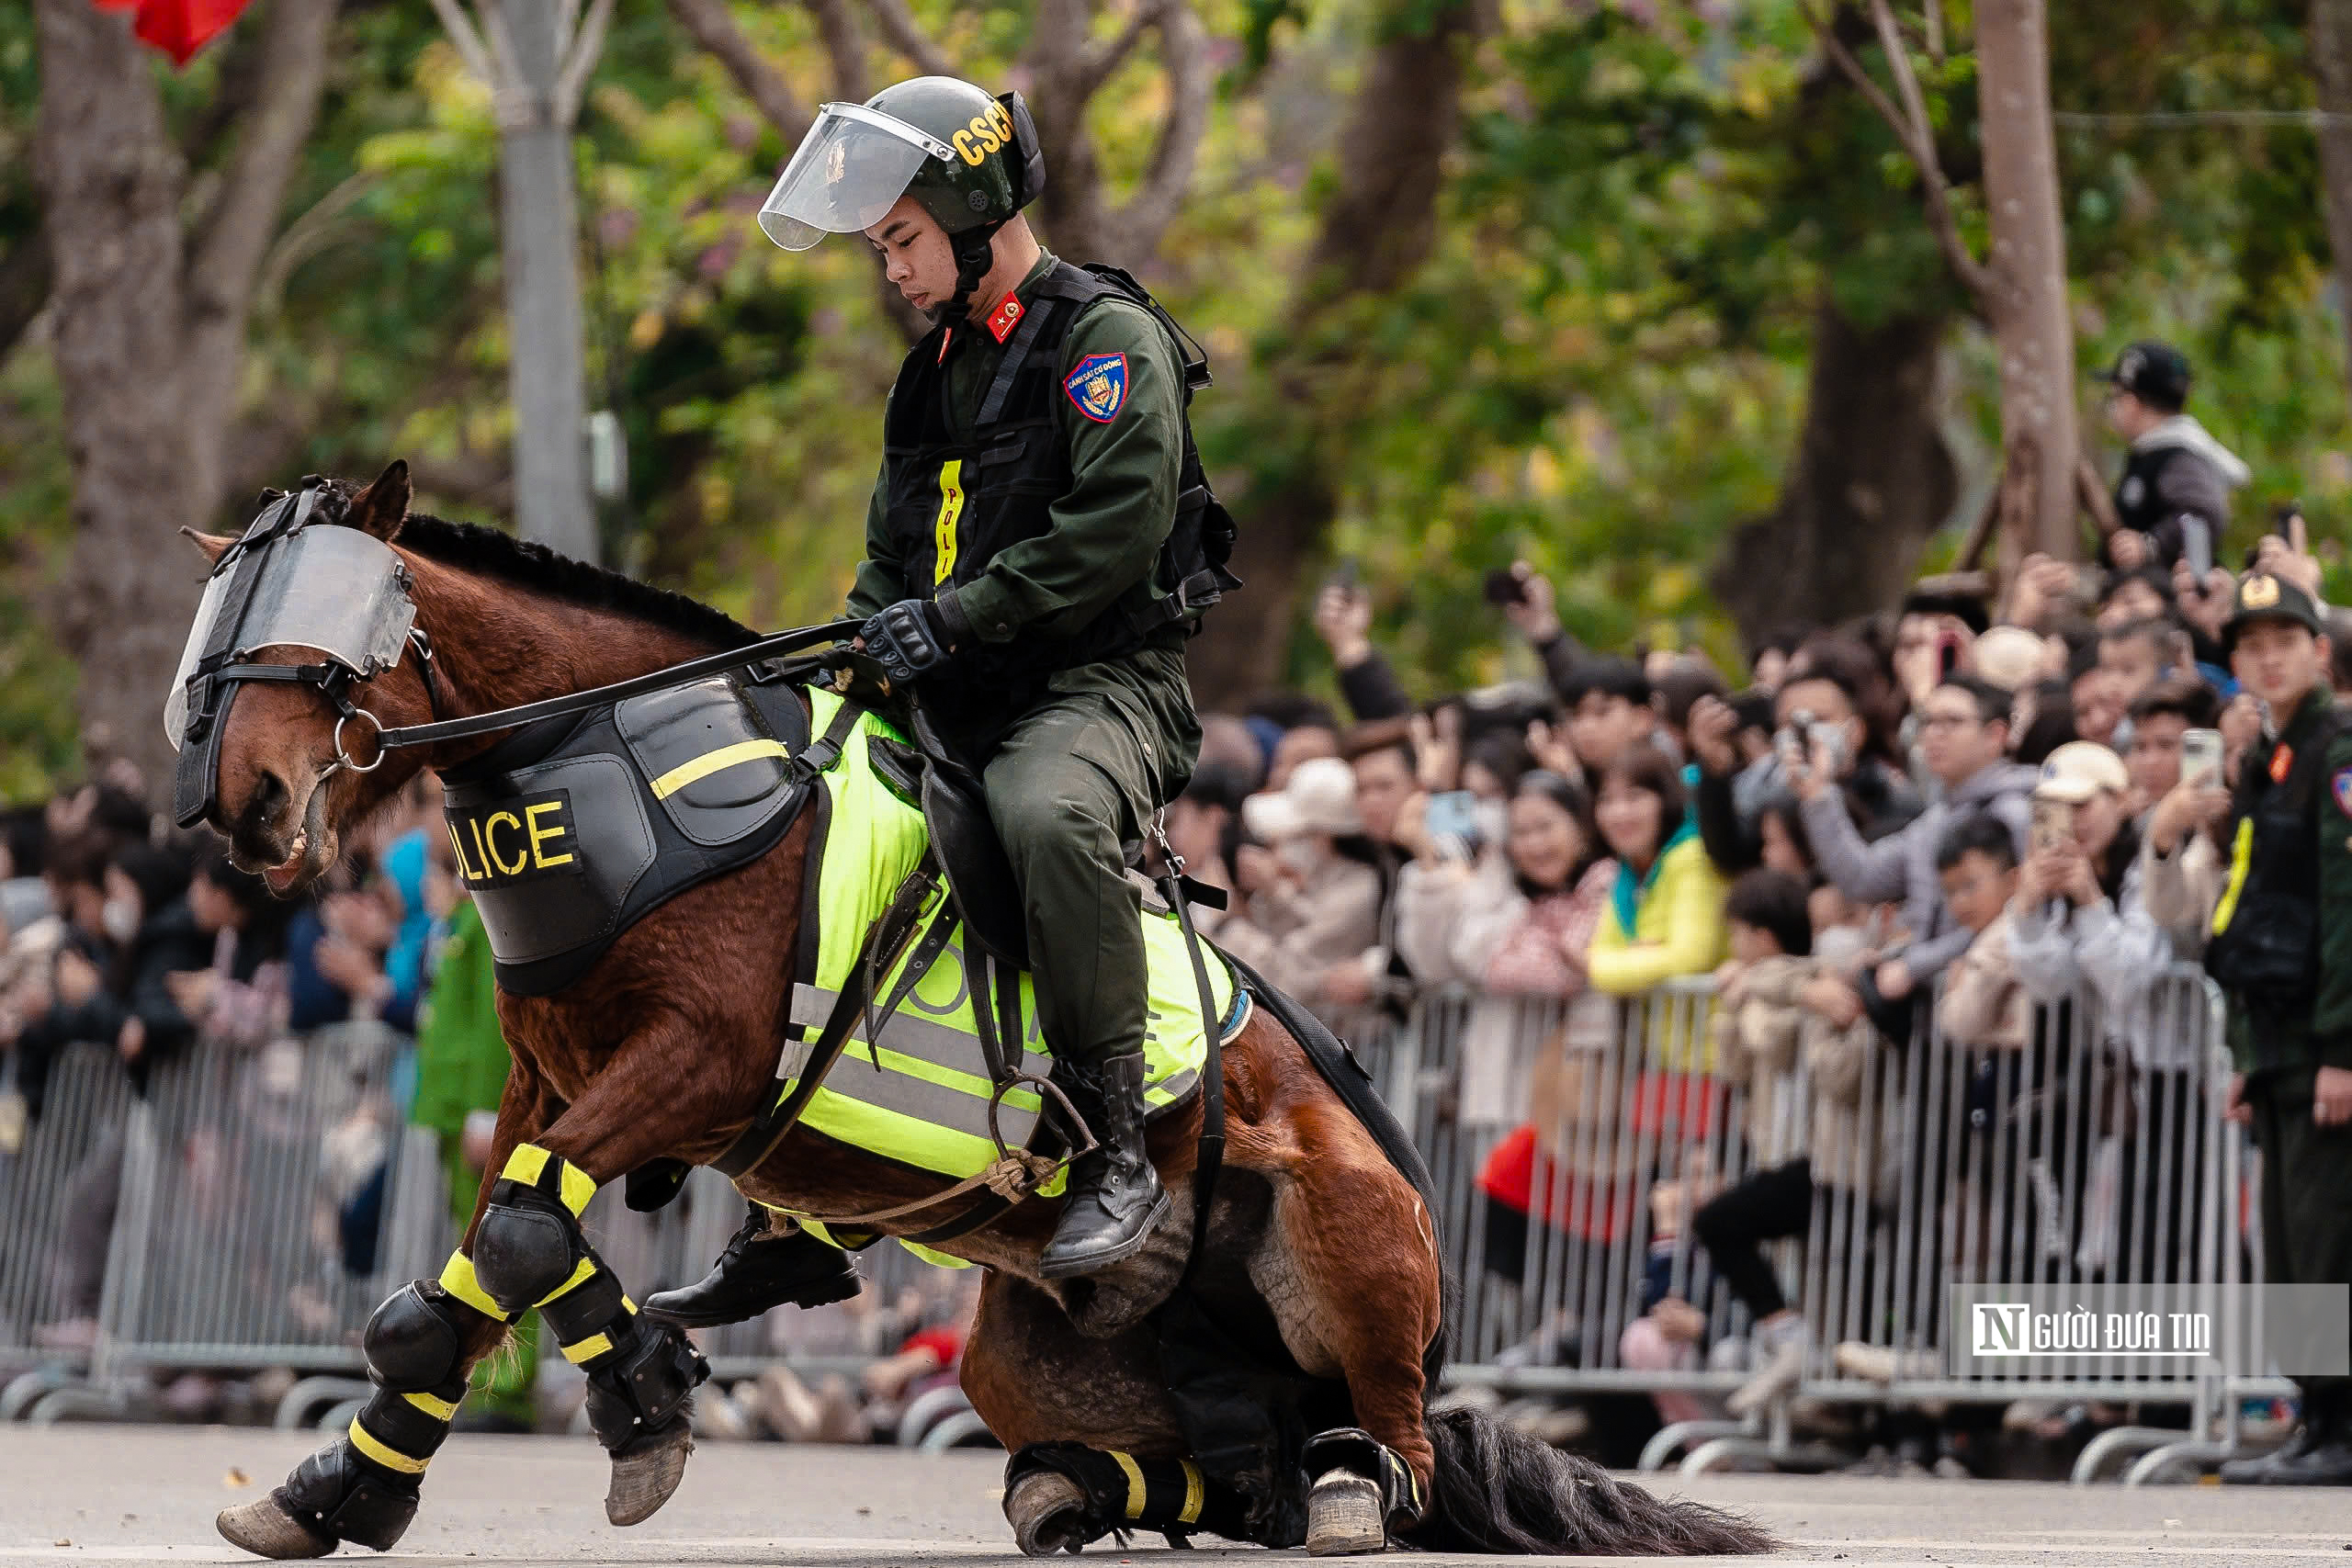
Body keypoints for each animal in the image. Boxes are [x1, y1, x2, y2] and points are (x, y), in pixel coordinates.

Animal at [202, 463, 1769, 1561]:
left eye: (324, 635)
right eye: (219, 631)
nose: (244, 804)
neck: (628, 757)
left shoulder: (696, 1063)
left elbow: (525, 1240)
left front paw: (634, 1394)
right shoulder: (553, 1081)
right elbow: (473, 1270)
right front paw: (355, 1480)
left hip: (1349, 1244)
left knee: (1393, 1460)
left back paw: (1339, 1493)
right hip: (1019, 1346)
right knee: (1235, 1470)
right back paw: (1084, 1486)